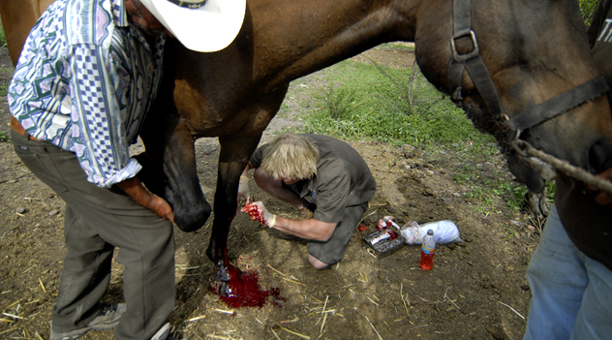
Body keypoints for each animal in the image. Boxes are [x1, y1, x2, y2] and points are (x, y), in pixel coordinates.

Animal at [3, 0, 612, 294]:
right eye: (533, 13)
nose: (599, 149)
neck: (240, 44)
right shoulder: (167, 130)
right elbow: (192, 208)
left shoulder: (246, 132)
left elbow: (222, 205)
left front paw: (223, 269)